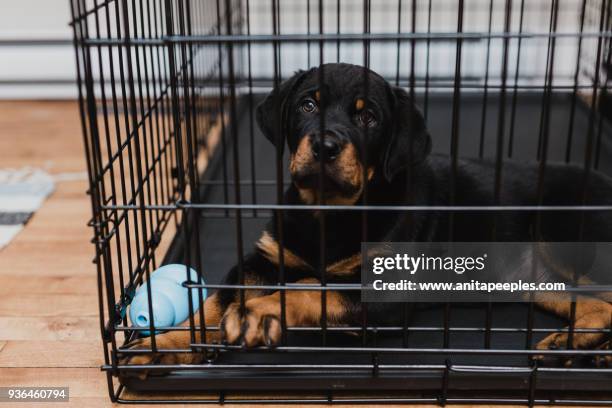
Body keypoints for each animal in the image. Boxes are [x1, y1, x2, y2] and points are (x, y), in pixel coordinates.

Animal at [125, 63, 612, 366]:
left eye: (369, 118)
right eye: (307, 105)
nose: (324, 146)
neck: (328, 210)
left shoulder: (385, 290)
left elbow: (311, 288)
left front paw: (258, 313)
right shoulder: (264, 259)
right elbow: (215, 300)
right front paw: (166, 343)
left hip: (561, 232)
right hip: (537, 278)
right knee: (597, 306)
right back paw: (572, 346)